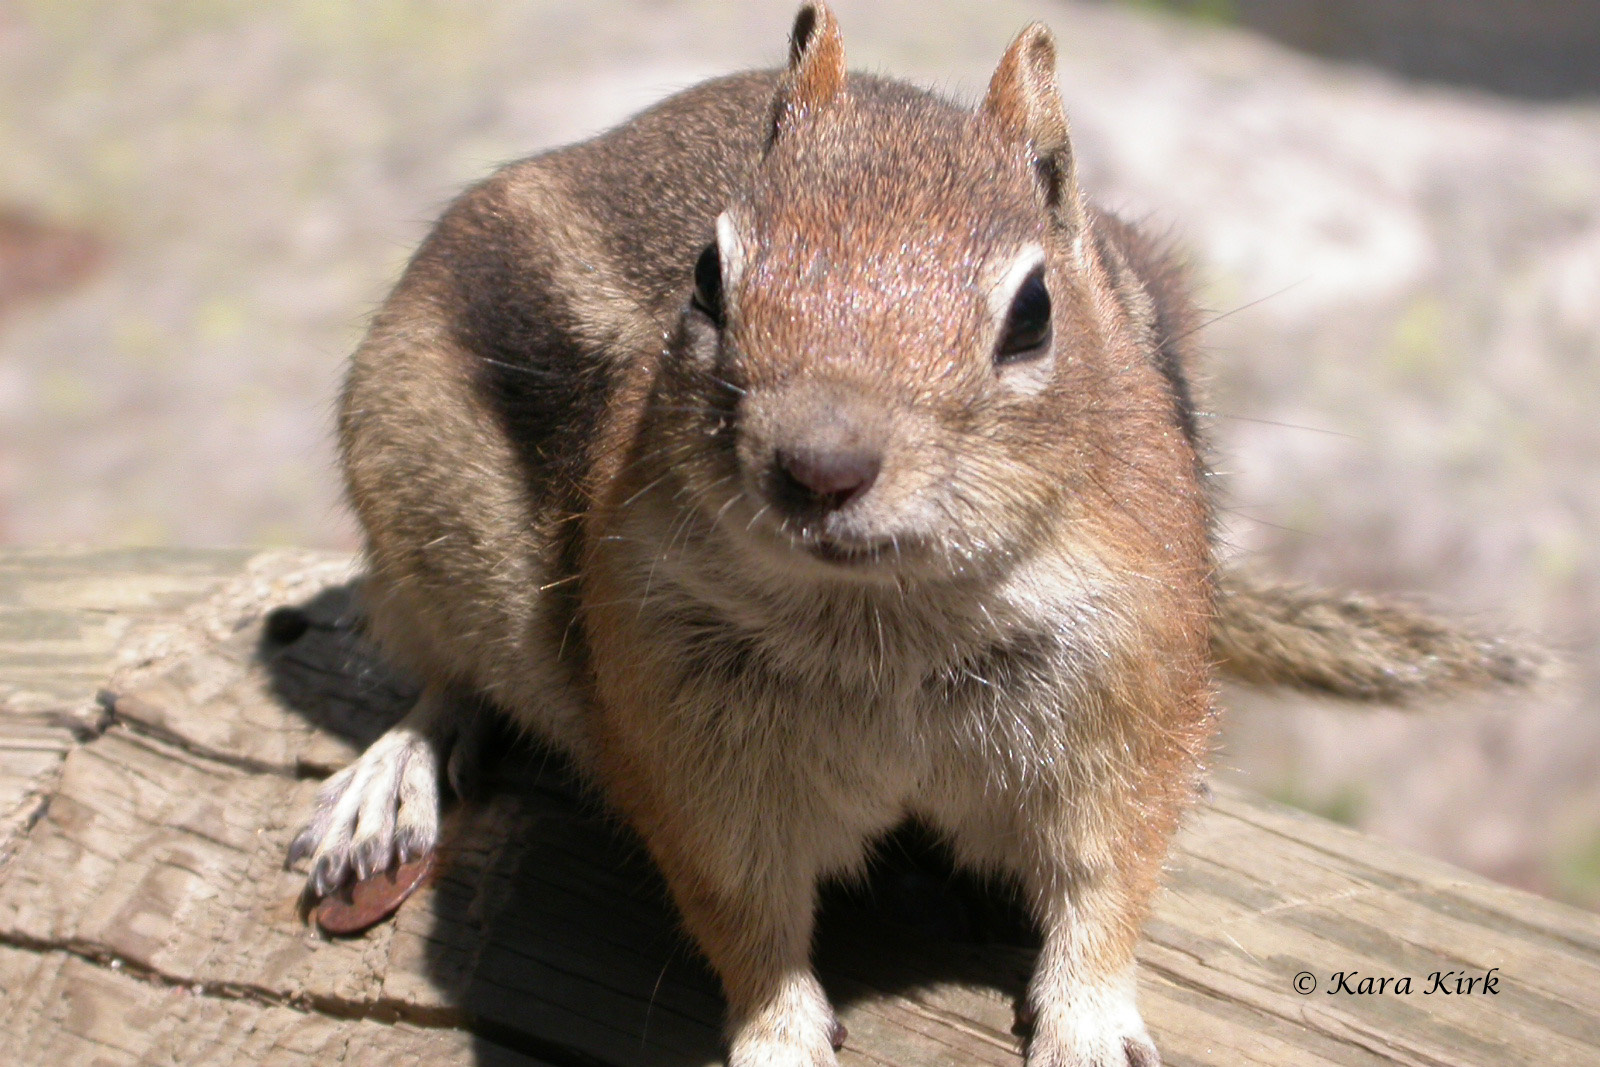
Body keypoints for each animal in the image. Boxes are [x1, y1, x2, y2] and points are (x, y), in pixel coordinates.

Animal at [287, 5, 1541, 1065]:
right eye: (705, 275)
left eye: (1032, 313)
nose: (818, 466)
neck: (885, 617)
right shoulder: (679, 739)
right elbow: (743, 914)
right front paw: (780, 1038)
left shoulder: (1127, 693)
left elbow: (1107, 883)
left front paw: (1089, 1022)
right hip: (410, 510)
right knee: (442, 674)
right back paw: (387, 781)